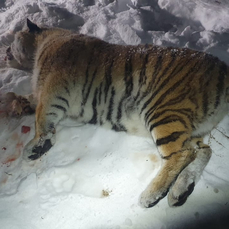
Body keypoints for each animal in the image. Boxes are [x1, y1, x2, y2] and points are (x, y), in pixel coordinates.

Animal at [3, 18, 229, 208]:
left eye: (13, 41)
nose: (4, 49)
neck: (45, 41)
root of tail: (222, 68)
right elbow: (32, 104)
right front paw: (16, 105)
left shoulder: (52, 89)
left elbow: (41, 120)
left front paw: (36, 146)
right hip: (194, 128)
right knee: (204, 151)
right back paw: (181, 190)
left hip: (163, 112)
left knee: (182, 154)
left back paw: (151, 195)